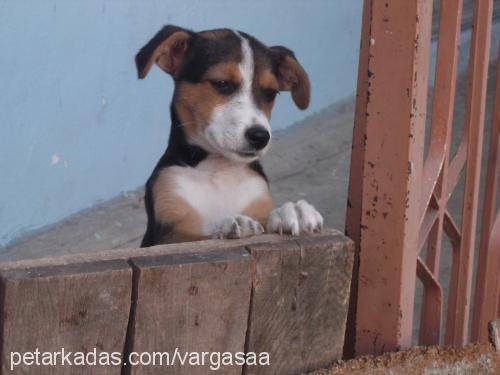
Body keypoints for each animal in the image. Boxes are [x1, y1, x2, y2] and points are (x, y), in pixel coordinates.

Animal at [136, 25, 324, 247]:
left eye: (271, 93)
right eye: (222, 83)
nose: (260, 137)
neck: (218, 169)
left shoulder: (258, 199)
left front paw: (292, 211)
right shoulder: (166, 233)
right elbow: (203, 236)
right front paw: (230, 225)